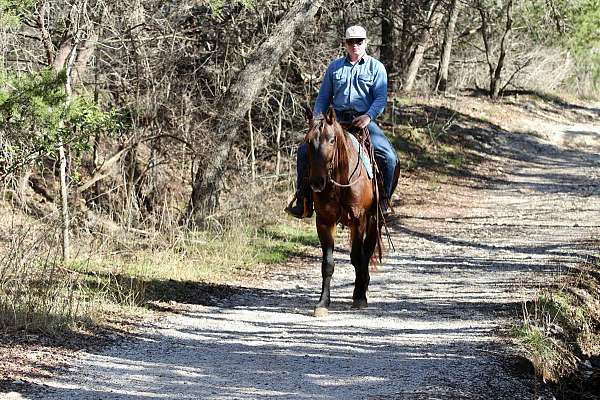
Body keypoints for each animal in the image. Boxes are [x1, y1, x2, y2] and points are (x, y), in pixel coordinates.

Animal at [304, 105, 390, 316]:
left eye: (332, 140)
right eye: (308, 141)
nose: (317, 182)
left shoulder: (358, 219)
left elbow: (358, 257)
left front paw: (359, 296)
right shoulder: (324, 221)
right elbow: (327, 264)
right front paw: (322, 303)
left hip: (373, 220)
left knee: (366, 251)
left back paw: (363, 285)